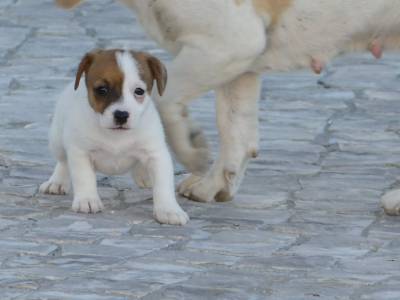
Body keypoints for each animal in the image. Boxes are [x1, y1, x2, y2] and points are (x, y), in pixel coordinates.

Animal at [39, 48, 190, 225]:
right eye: (102, 90)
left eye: (139, 91)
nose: (121, 115)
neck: (116, 135)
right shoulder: (80, 153)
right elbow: (84, 178)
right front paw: (87, 200)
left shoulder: (157, 155)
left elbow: (163, 185)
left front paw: (168, 210)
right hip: (57, 140)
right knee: (63, 162)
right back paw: (56, 182)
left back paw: (143, 175)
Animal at [54, 0, 400, 216]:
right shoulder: (239, 63)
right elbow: (235, 130)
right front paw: (213, 185)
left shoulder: (227, 44)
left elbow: (163, 98)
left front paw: (189, 150)